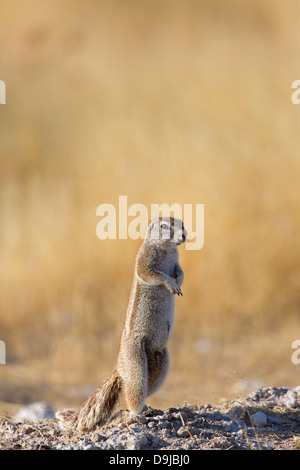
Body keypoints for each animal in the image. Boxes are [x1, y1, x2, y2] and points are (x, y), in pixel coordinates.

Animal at [56, 217, 186, 430]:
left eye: (183, 224)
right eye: (164, 226)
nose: (184, 235)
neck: (167, 249)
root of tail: (120, 367)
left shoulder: (177, 262)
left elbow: (180, 272)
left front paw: (179, 282)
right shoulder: (144, 261)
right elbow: (153, 274)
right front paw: (171, 283)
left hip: (161, 364)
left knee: (145, 388)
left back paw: (148, 408)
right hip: (136, 363)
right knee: (133, 391)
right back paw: (135, 415)